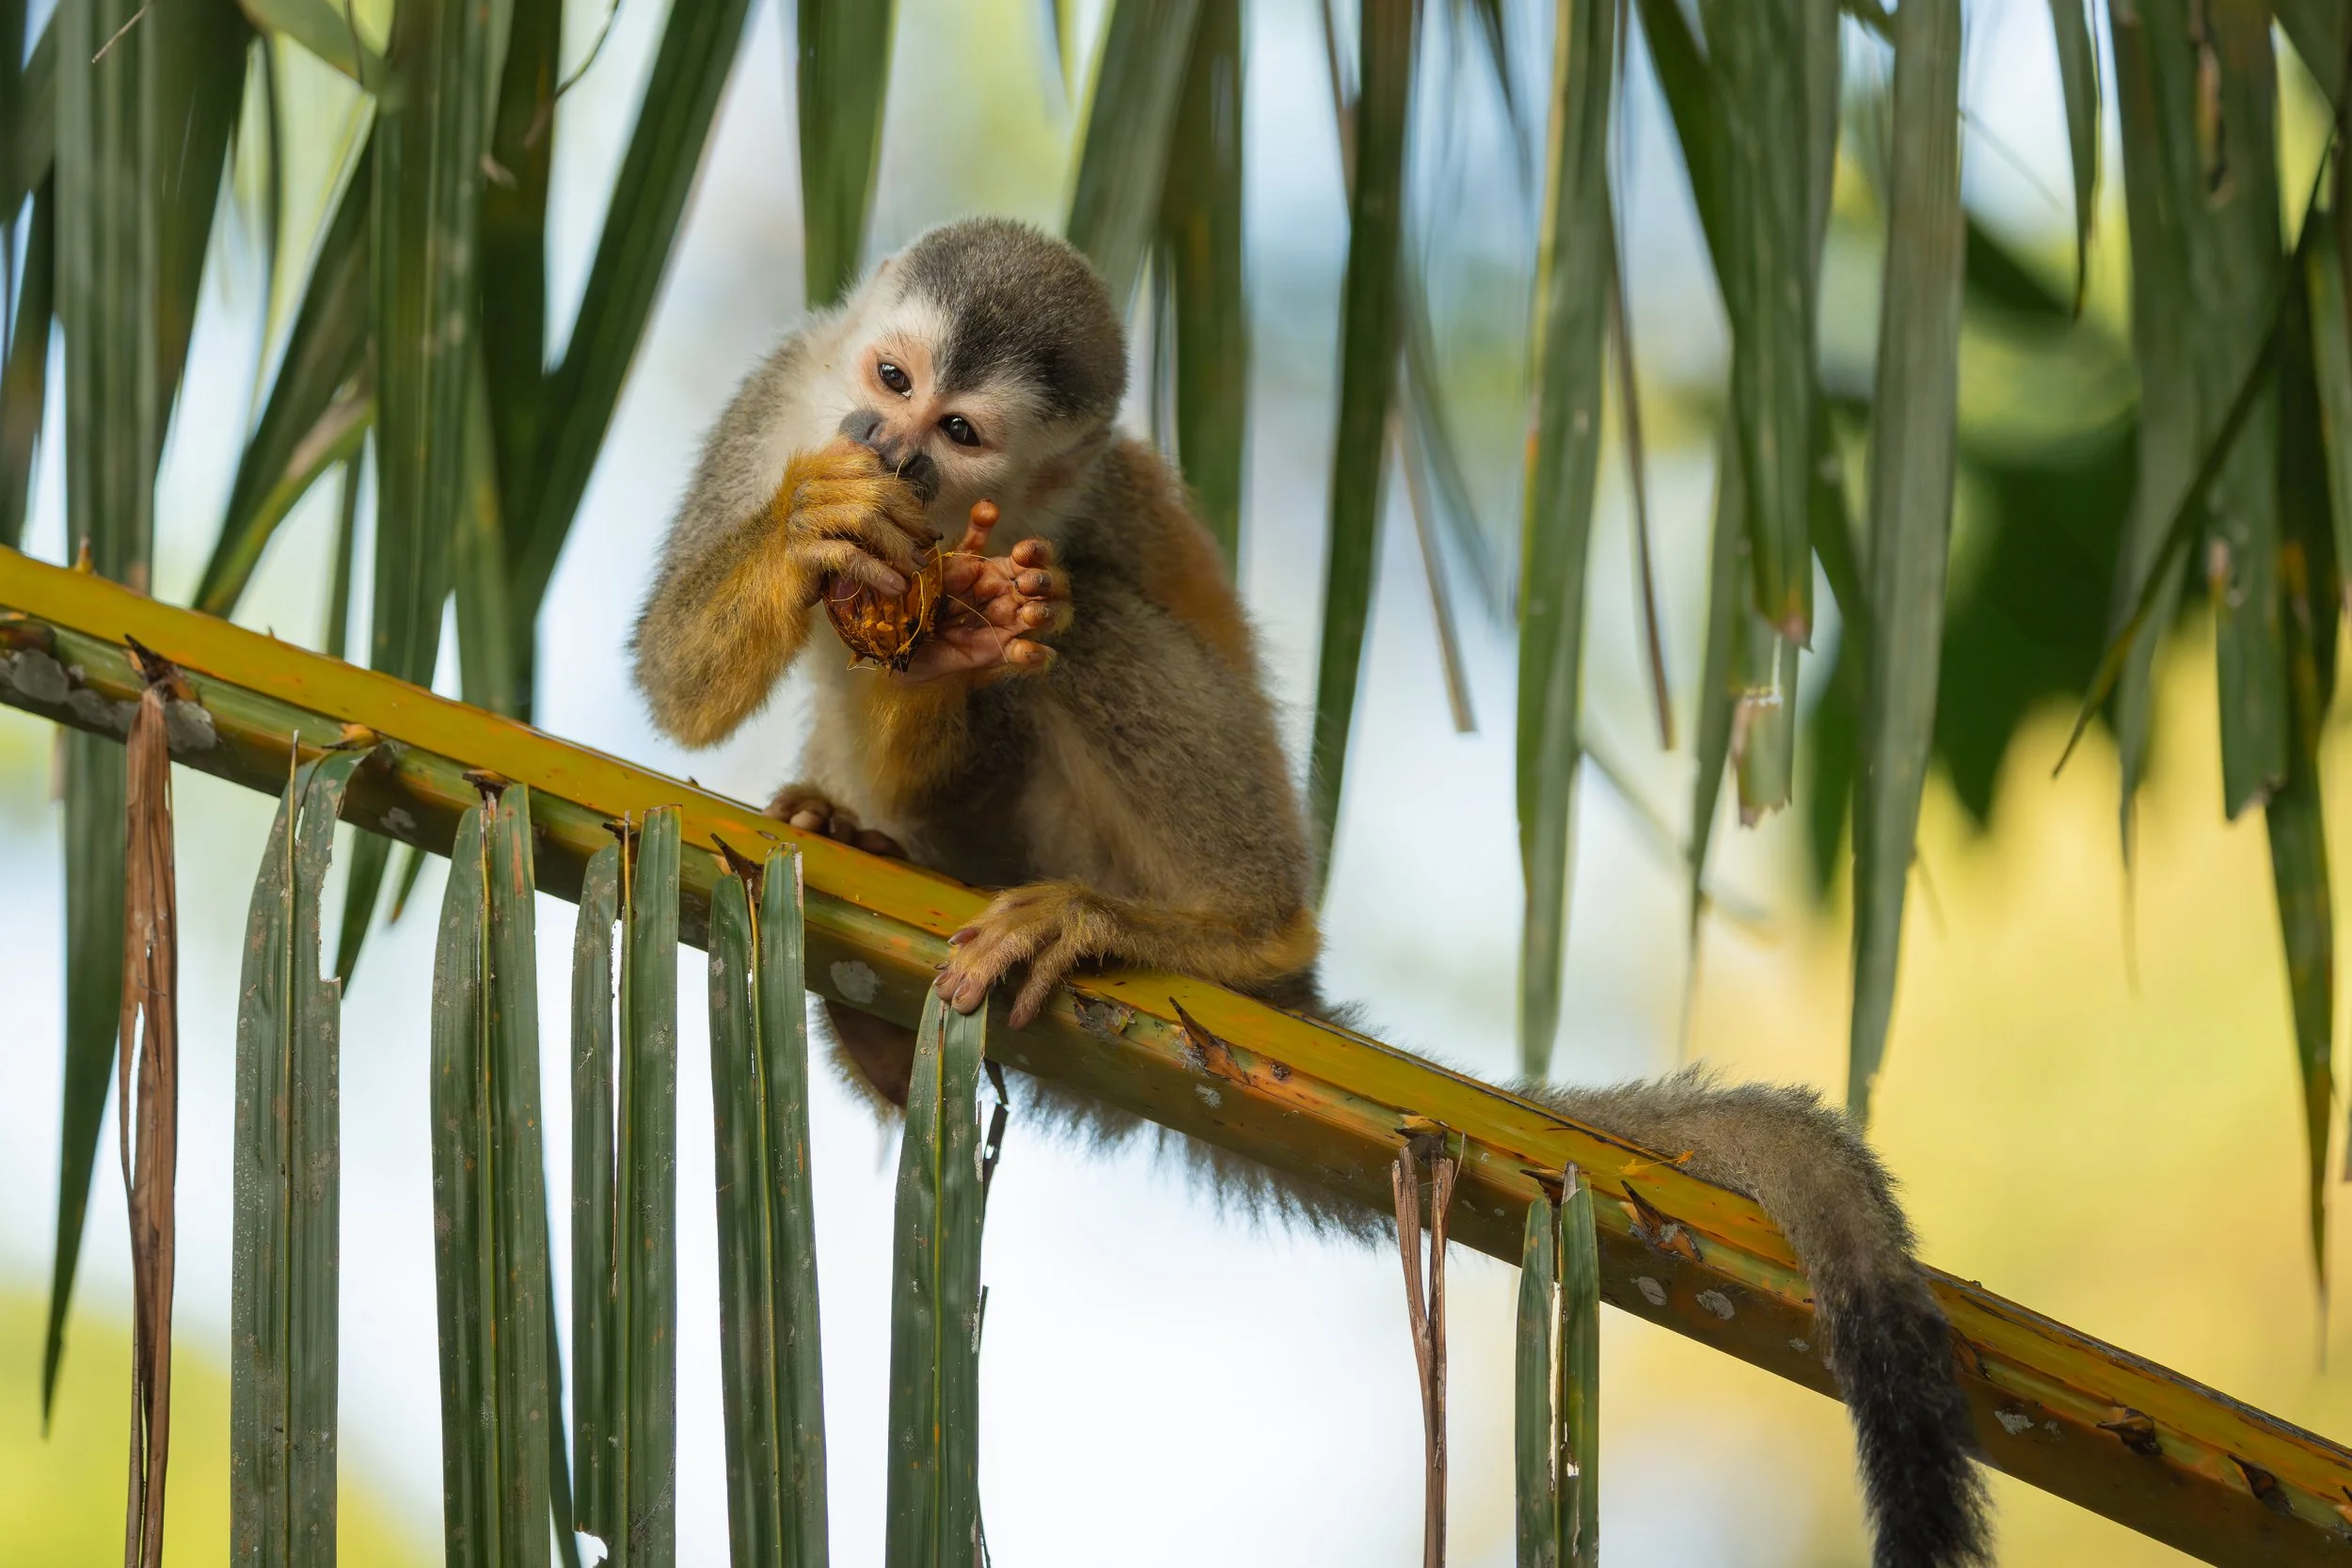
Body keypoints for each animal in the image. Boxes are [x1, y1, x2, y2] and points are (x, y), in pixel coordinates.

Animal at [630, 216, 1992, 1568]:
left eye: (961, 429)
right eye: (891, 378)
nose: (895, 447)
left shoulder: (1081, 503)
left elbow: (1043, 615)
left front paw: (966, 634)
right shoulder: (783, 394)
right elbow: (681, 683)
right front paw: (813, 531)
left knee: (1092, 617)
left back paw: (1226, 927)